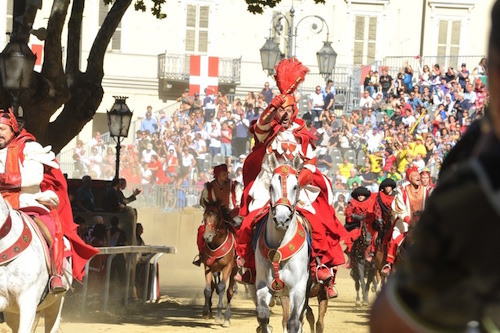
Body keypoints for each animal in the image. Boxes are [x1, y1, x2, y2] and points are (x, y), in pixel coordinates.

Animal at [256, 155, 310, 332]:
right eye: (271, 186)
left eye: (296, 186)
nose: (281, 220)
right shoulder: (262, 285)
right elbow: (263, 314)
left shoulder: (298, 288)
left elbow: (293, 322)